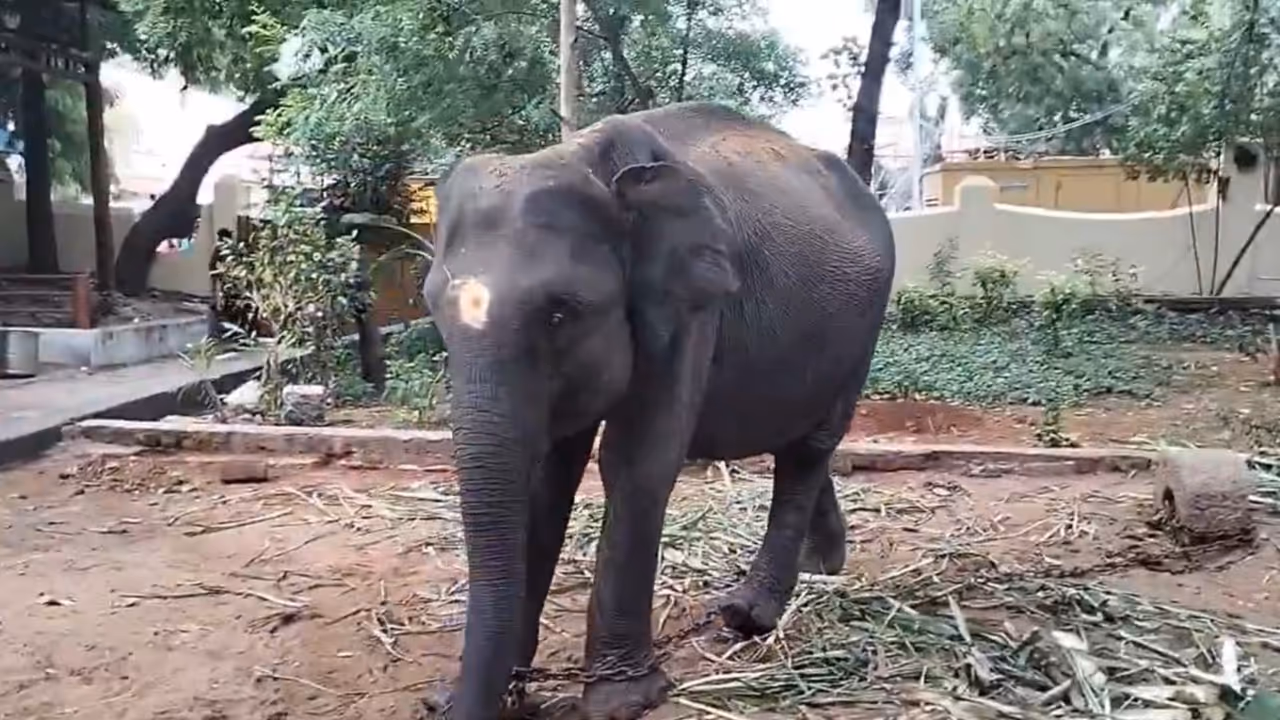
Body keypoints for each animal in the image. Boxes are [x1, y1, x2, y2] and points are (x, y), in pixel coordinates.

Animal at [422, 101, 896, 720]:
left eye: (559, 314)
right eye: (433, 311)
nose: (449, 704)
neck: (579, 157)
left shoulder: (689, 297)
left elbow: (636, 462)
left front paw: (622, 701)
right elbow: (548, 479)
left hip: (867, 325)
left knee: (809, 449)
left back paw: (748, 613)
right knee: (797, 438)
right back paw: (823, 566)